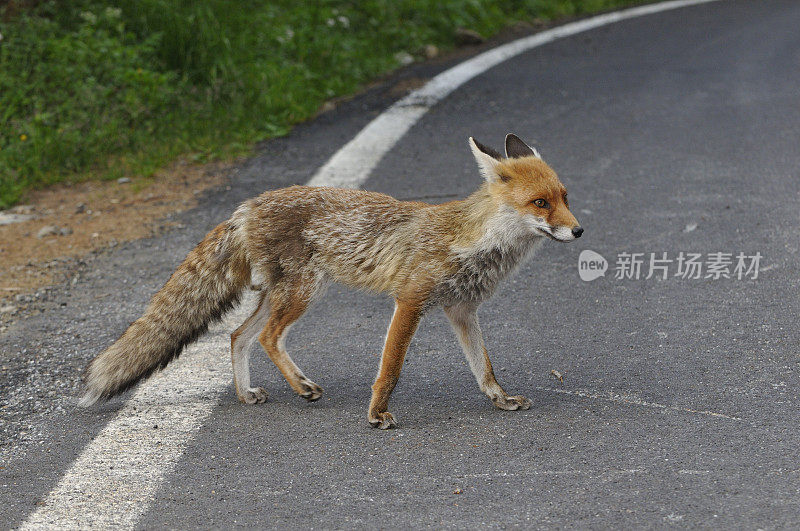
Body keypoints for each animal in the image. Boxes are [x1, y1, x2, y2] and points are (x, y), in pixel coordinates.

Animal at [79, 135, 580, 430]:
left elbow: (484, 368)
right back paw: (301, 387)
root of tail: (245, 207)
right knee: (266, 337)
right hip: (303, 293)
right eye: (540, 203)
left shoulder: (461, 309)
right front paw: (377, 414)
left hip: (282, 294)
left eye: (564, 197)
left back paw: (246, 394)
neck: (473, 243)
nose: (578, 231)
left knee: (239, 336)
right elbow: (390, 369)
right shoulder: (411, 300)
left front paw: (501, 400)